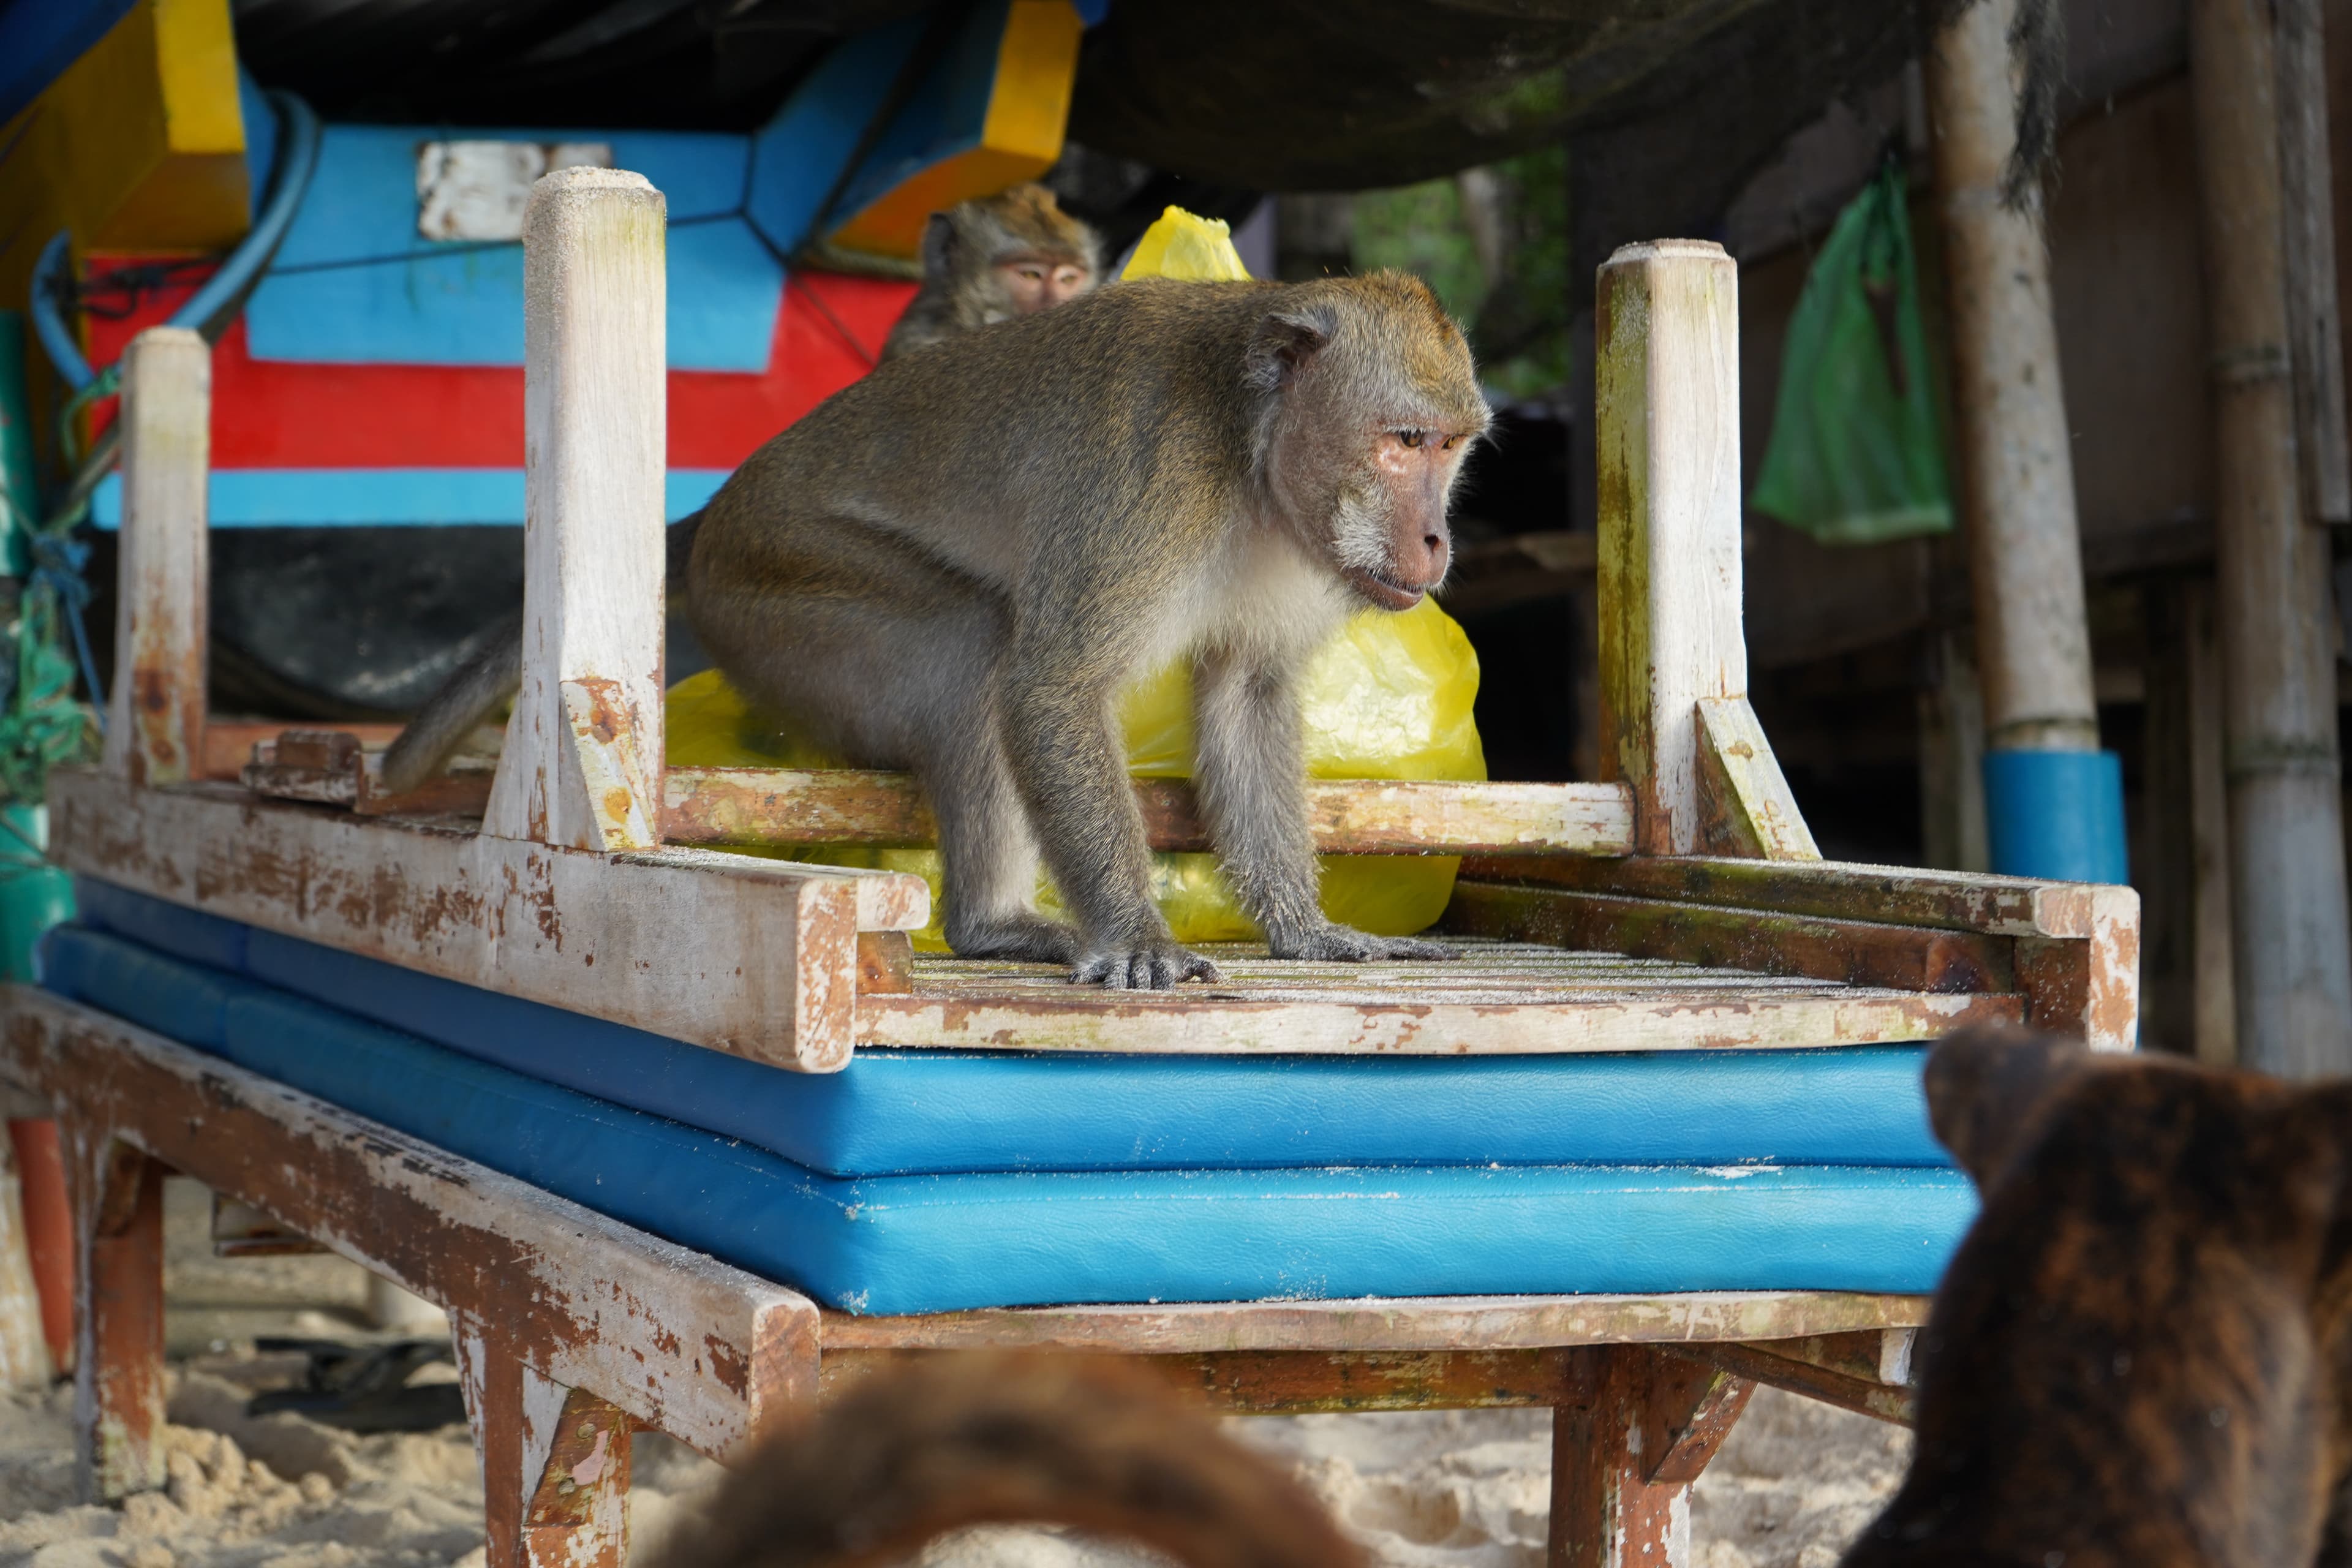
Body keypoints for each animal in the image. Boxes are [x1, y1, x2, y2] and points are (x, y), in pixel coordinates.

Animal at [383, 270, 1487, 989]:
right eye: (1401, 443)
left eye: (1453, 448)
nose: (1438, 537)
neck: (1252, 453)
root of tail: (718, 515)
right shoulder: (1155, 472)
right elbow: (1051, 684)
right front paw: (1135, 933)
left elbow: (1247, 695)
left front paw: (1309, 931)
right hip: (774, 602)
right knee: (974, 642)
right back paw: (990, 925)